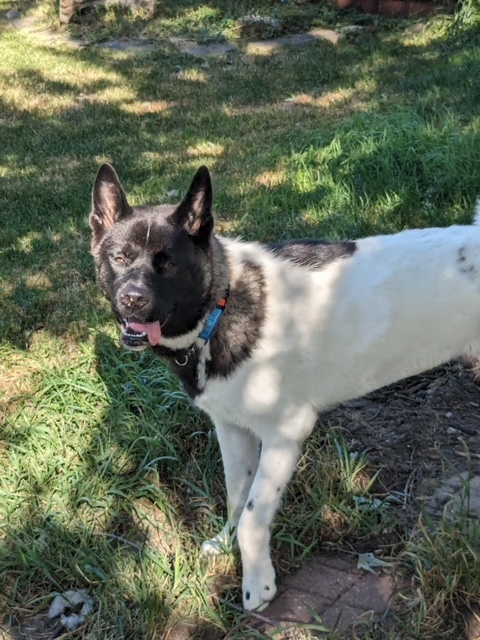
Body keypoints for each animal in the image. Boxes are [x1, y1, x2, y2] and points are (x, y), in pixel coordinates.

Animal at [89, 164, 480, 608]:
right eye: (119, 259)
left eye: (167, 263)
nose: (132, 299)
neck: (221, 305)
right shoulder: (231, 429)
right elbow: (236, 496)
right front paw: (225, 543)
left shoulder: (285, 435)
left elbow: (253, 517)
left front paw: (257, 585)